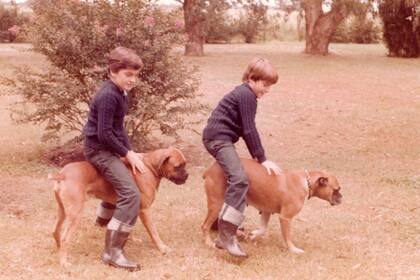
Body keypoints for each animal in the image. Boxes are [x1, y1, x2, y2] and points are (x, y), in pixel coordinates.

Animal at [48, 147, 188, 266]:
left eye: (185, 163)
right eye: (177, 166)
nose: (187, 175)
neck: (149, 166)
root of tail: (63, 174)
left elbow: (126, 226)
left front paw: (131, 239)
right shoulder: (145, 210)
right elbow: (153, 232)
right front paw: (162, 248)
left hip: (63, 211)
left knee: (55, 231)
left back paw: (59, 251)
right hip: (75, 214)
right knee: (65, 238)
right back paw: (64, 262)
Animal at [202, 158, 342, 254]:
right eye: (336, 189)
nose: (342, 197)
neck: (306, 182)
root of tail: (210, 169)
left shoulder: (266, 211)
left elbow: (263, 229)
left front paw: (252, 235)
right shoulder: (285, 218)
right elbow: (287, 237)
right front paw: (293, 249)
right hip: (217, 204)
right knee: (205, 226)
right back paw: (209, 243)